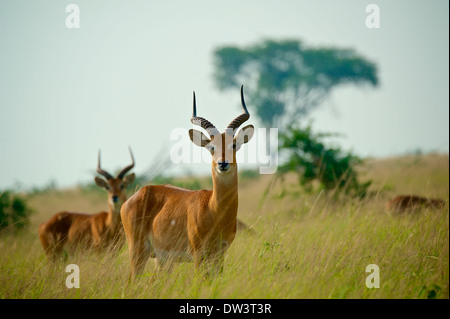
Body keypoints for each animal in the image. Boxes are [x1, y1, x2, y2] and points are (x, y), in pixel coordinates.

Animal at [121, 85, 255, 280]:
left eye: (234, 145)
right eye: (212, 147)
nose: (222, 163)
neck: (214, 210)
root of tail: (139, 193)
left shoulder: (220, 255)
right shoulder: (199, 254)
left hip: (161, 259)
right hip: (138, 252)